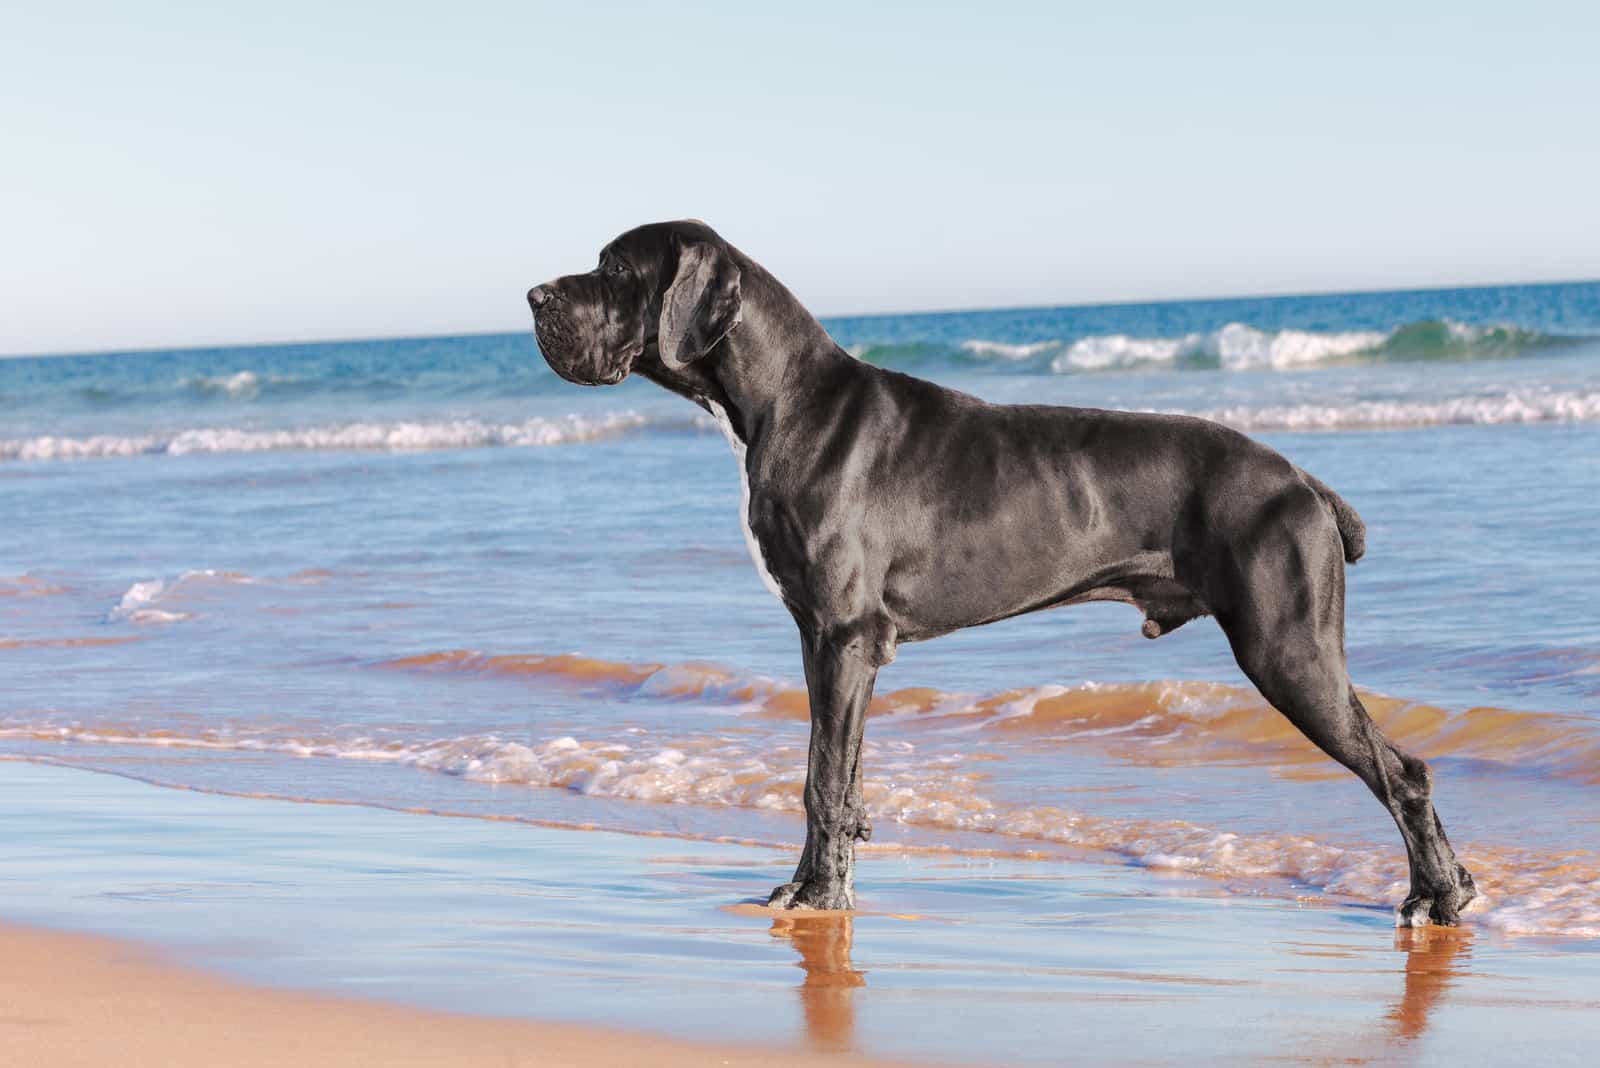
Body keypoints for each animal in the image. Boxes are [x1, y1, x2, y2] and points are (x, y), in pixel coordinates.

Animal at [531, 219, 1478, 927]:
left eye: (614, 268)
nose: (535, 296)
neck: (780, 398)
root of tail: (1302, 479)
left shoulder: (841, 637)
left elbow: (820, 778)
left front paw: (819, 894)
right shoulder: (832, 643)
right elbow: (840, 772)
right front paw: (819, 885)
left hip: (1288, 651)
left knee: (1403, 773)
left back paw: (1436, 896)